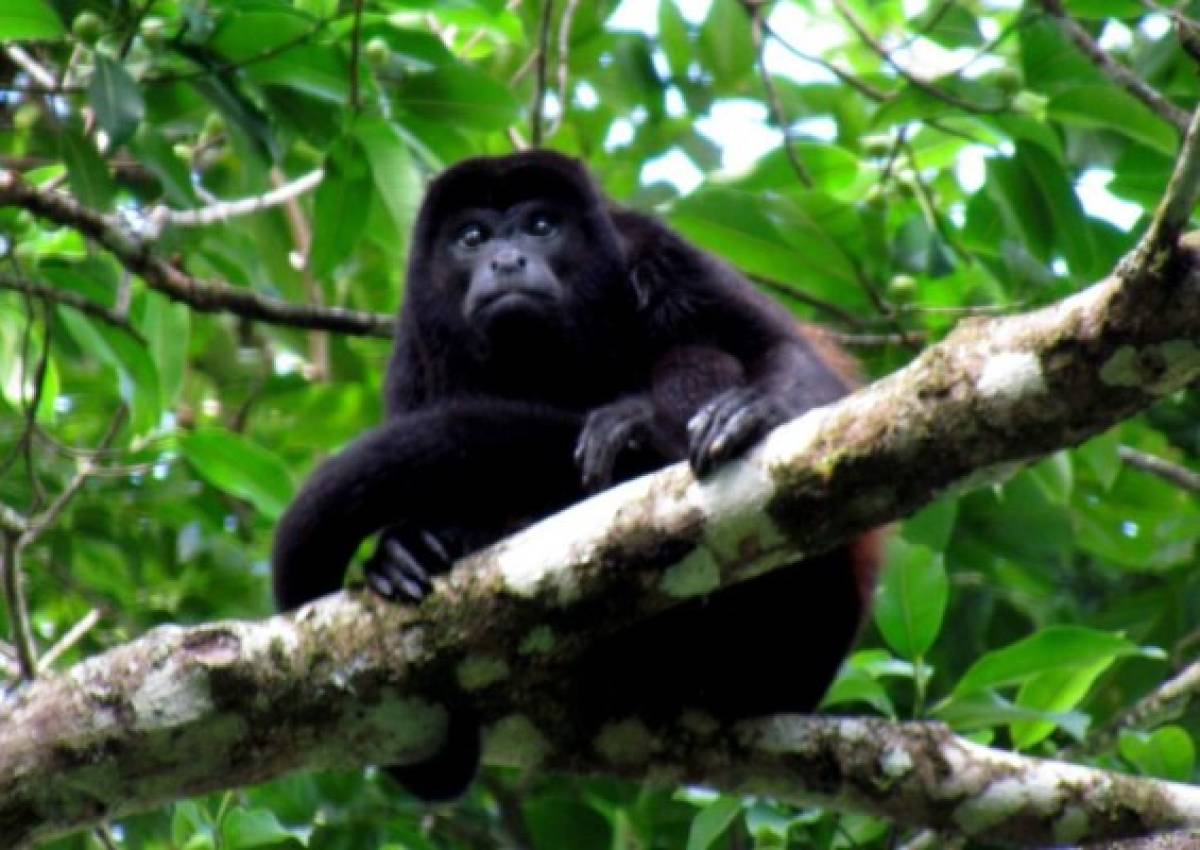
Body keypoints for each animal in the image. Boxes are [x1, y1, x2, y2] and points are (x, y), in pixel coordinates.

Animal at [276, 154, 888, 801]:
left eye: (542, 226)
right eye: (472, 237)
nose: (507, 259)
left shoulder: (661, 253)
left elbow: (785, 354)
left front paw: (751, 413)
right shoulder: (416, 343)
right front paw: (404, 551)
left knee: (696, 356)